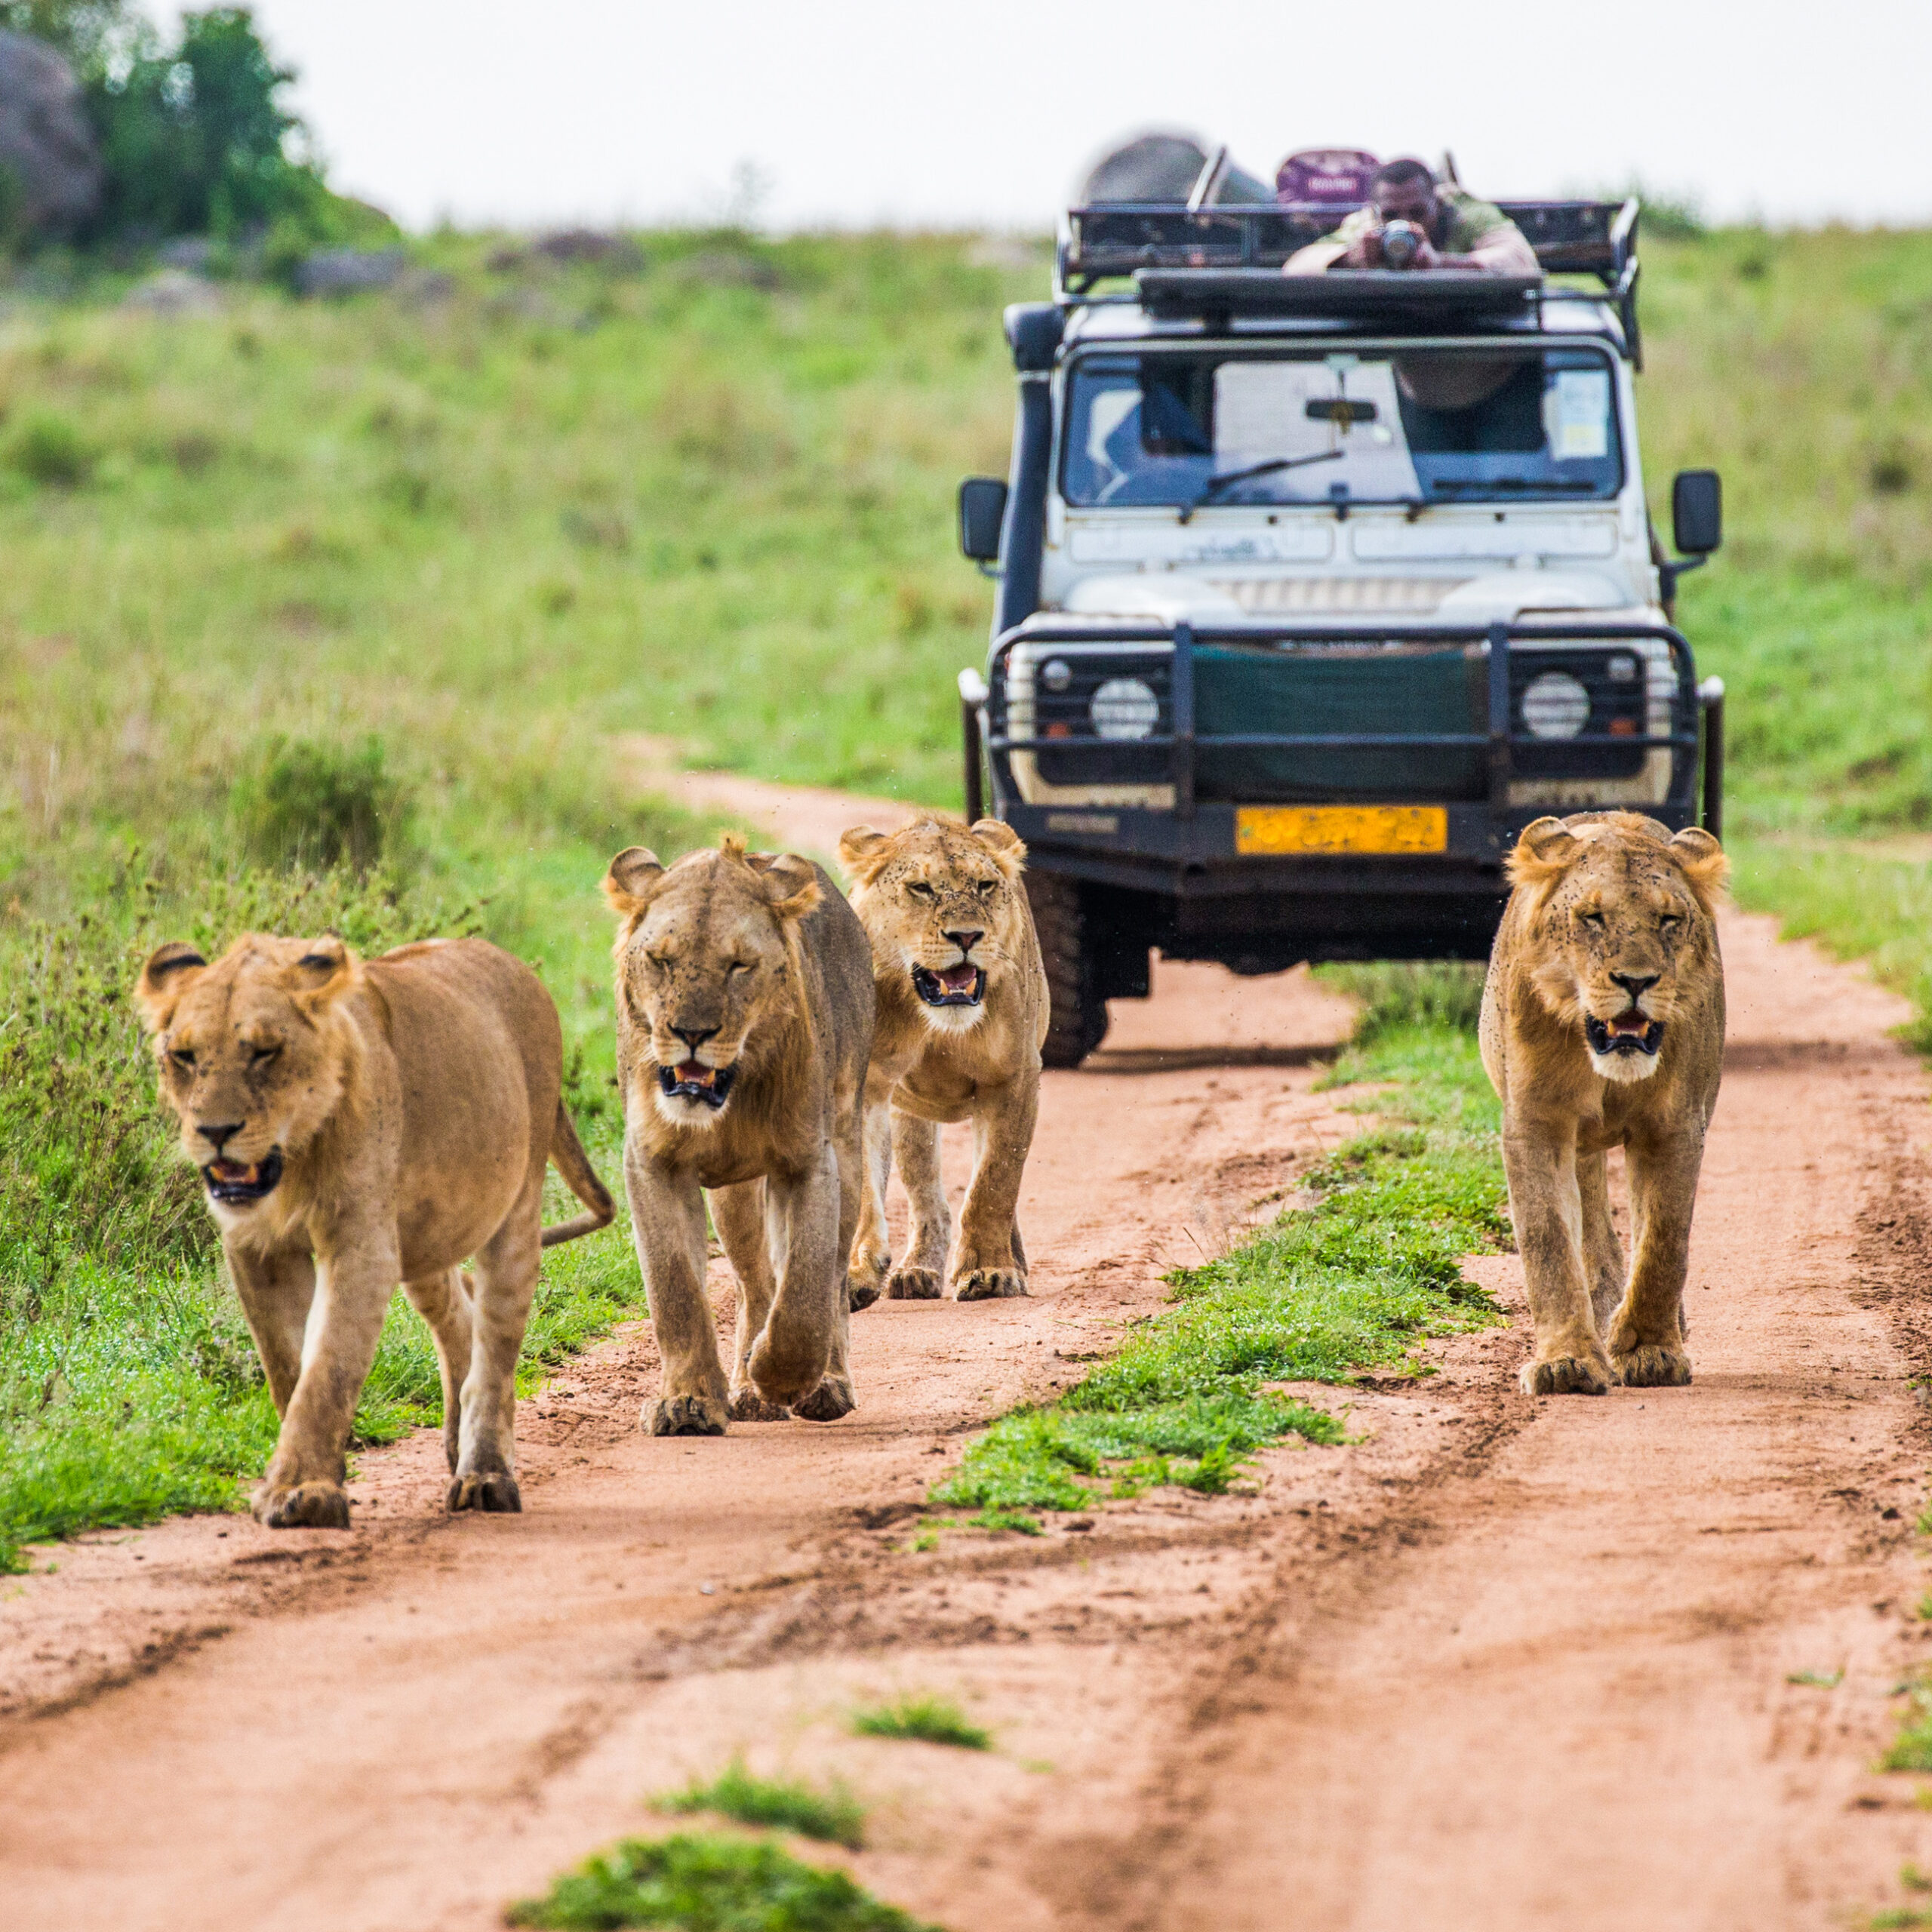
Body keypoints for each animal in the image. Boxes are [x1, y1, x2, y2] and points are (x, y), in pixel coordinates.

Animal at [136, 927, 610, 1530]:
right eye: (184, 1056)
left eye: (265, 1051)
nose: (215, 1132)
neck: (295, 1158)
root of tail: (515, 965)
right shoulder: (255, 1248)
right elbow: (288, 1368)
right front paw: (317, 1478)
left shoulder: (361, 1245)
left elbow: (329, 1368)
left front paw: (302, 1492)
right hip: (426, 1238)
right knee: (458, 1316)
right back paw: (456, 1446)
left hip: (516, 1207)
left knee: (495, 1351)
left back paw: (485, 1474)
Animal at [602, 830, 877, 1437]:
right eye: (662, 960)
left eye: (738, 966)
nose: (691, 1033)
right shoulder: (652, 1162)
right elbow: (676, 1288)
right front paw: (687, 1402)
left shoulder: (810, 1163)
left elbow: (806, 1290)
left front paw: (783, 1376)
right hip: (735, 1196)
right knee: (755, 1281)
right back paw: (748, 1388)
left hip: (847, 1148)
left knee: (829, 1284)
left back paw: (822, 1385)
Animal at [830, 808, 1043, 1306]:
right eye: (921, 888)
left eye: (985, 886)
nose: (967, 935)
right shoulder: (863, 1087)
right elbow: (864, 1187)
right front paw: (857, 1274)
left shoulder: (1016, 1079)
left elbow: (994, 1183)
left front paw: (990, 1270)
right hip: (910, 1116)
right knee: (927, 1196)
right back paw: (916, 1272)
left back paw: (1013, 1263)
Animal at [1475, 808, 1739, 1398]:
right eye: (1592, 917)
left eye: (1668, 920)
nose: (1636, 981)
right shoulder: (1536, 1122)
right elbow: (1548, 1240)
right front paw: (1567, 1362)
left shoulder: (1676, 1126)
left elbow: (1664, 1242)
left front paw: (1649, 1350)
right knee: (1592, 1227)